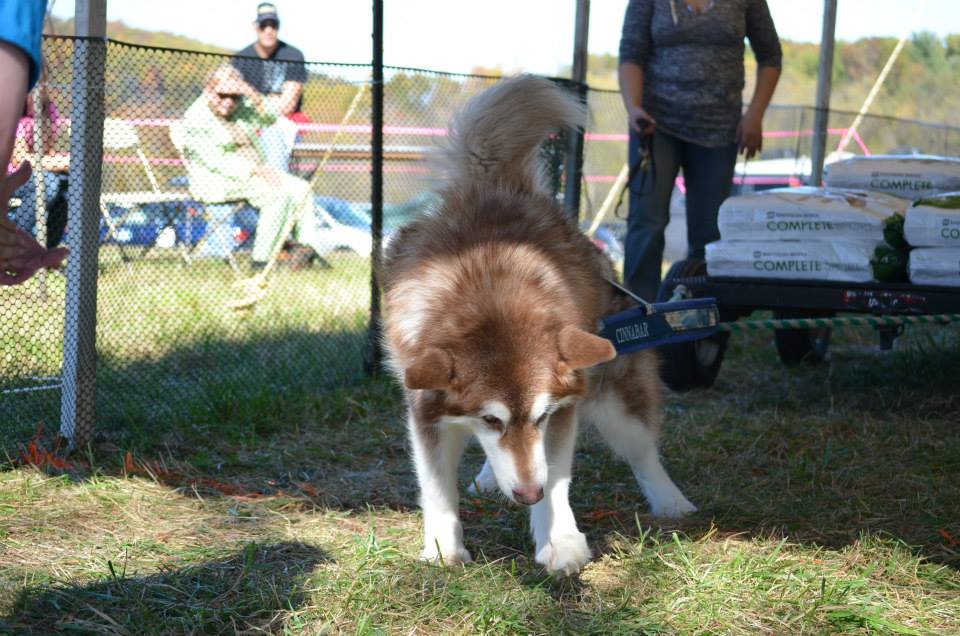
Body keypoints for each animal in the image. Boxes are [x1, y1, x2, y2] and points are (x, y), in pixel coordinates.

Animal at [378, 76, 692, 576]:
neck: (492, 298)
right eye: (490, 418)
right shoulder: (425, 409)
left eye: (541, 417)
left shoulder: (562, 411)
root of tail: (496, 185)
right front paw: (444, 546)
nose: (526, 493)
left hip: (617, 394)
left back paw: (670, 501)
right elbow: (437, 486)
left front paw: (558, 539)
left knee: (642, 450)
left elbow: (556, 476)